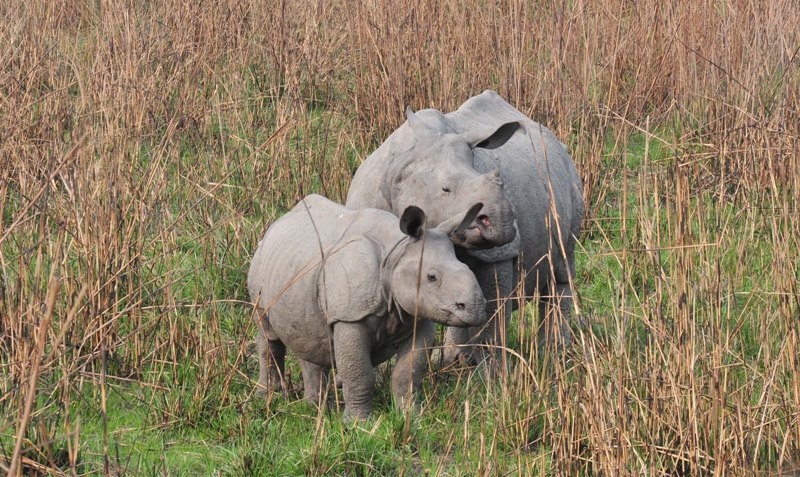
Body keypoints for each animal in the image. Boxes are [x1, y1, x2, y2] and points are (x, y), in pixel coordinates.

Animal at [247, 194, 487, 420]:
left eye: (468, 268)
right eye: (432, 277)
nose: (475, 309)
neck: (396, 253)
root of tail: (278, 223)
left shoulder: (419, 315)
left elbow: (408, 372)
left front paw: (411, 415)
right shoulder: (350, 316)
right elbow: (360, 373)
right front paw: (358, 423)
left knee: (309, 337)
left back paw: (317, 408)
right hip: (259, 265)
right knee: (268, 334)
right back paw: (269, 397)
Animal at [346, 90, 584, 364]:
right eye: (445, 189)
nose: (503, 222)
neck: (403, 170)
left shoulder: (497, 252)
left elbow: (493, 305)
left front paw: (491, 368)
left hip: (569, 176)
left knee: (563, 265)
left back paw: (553, 354)